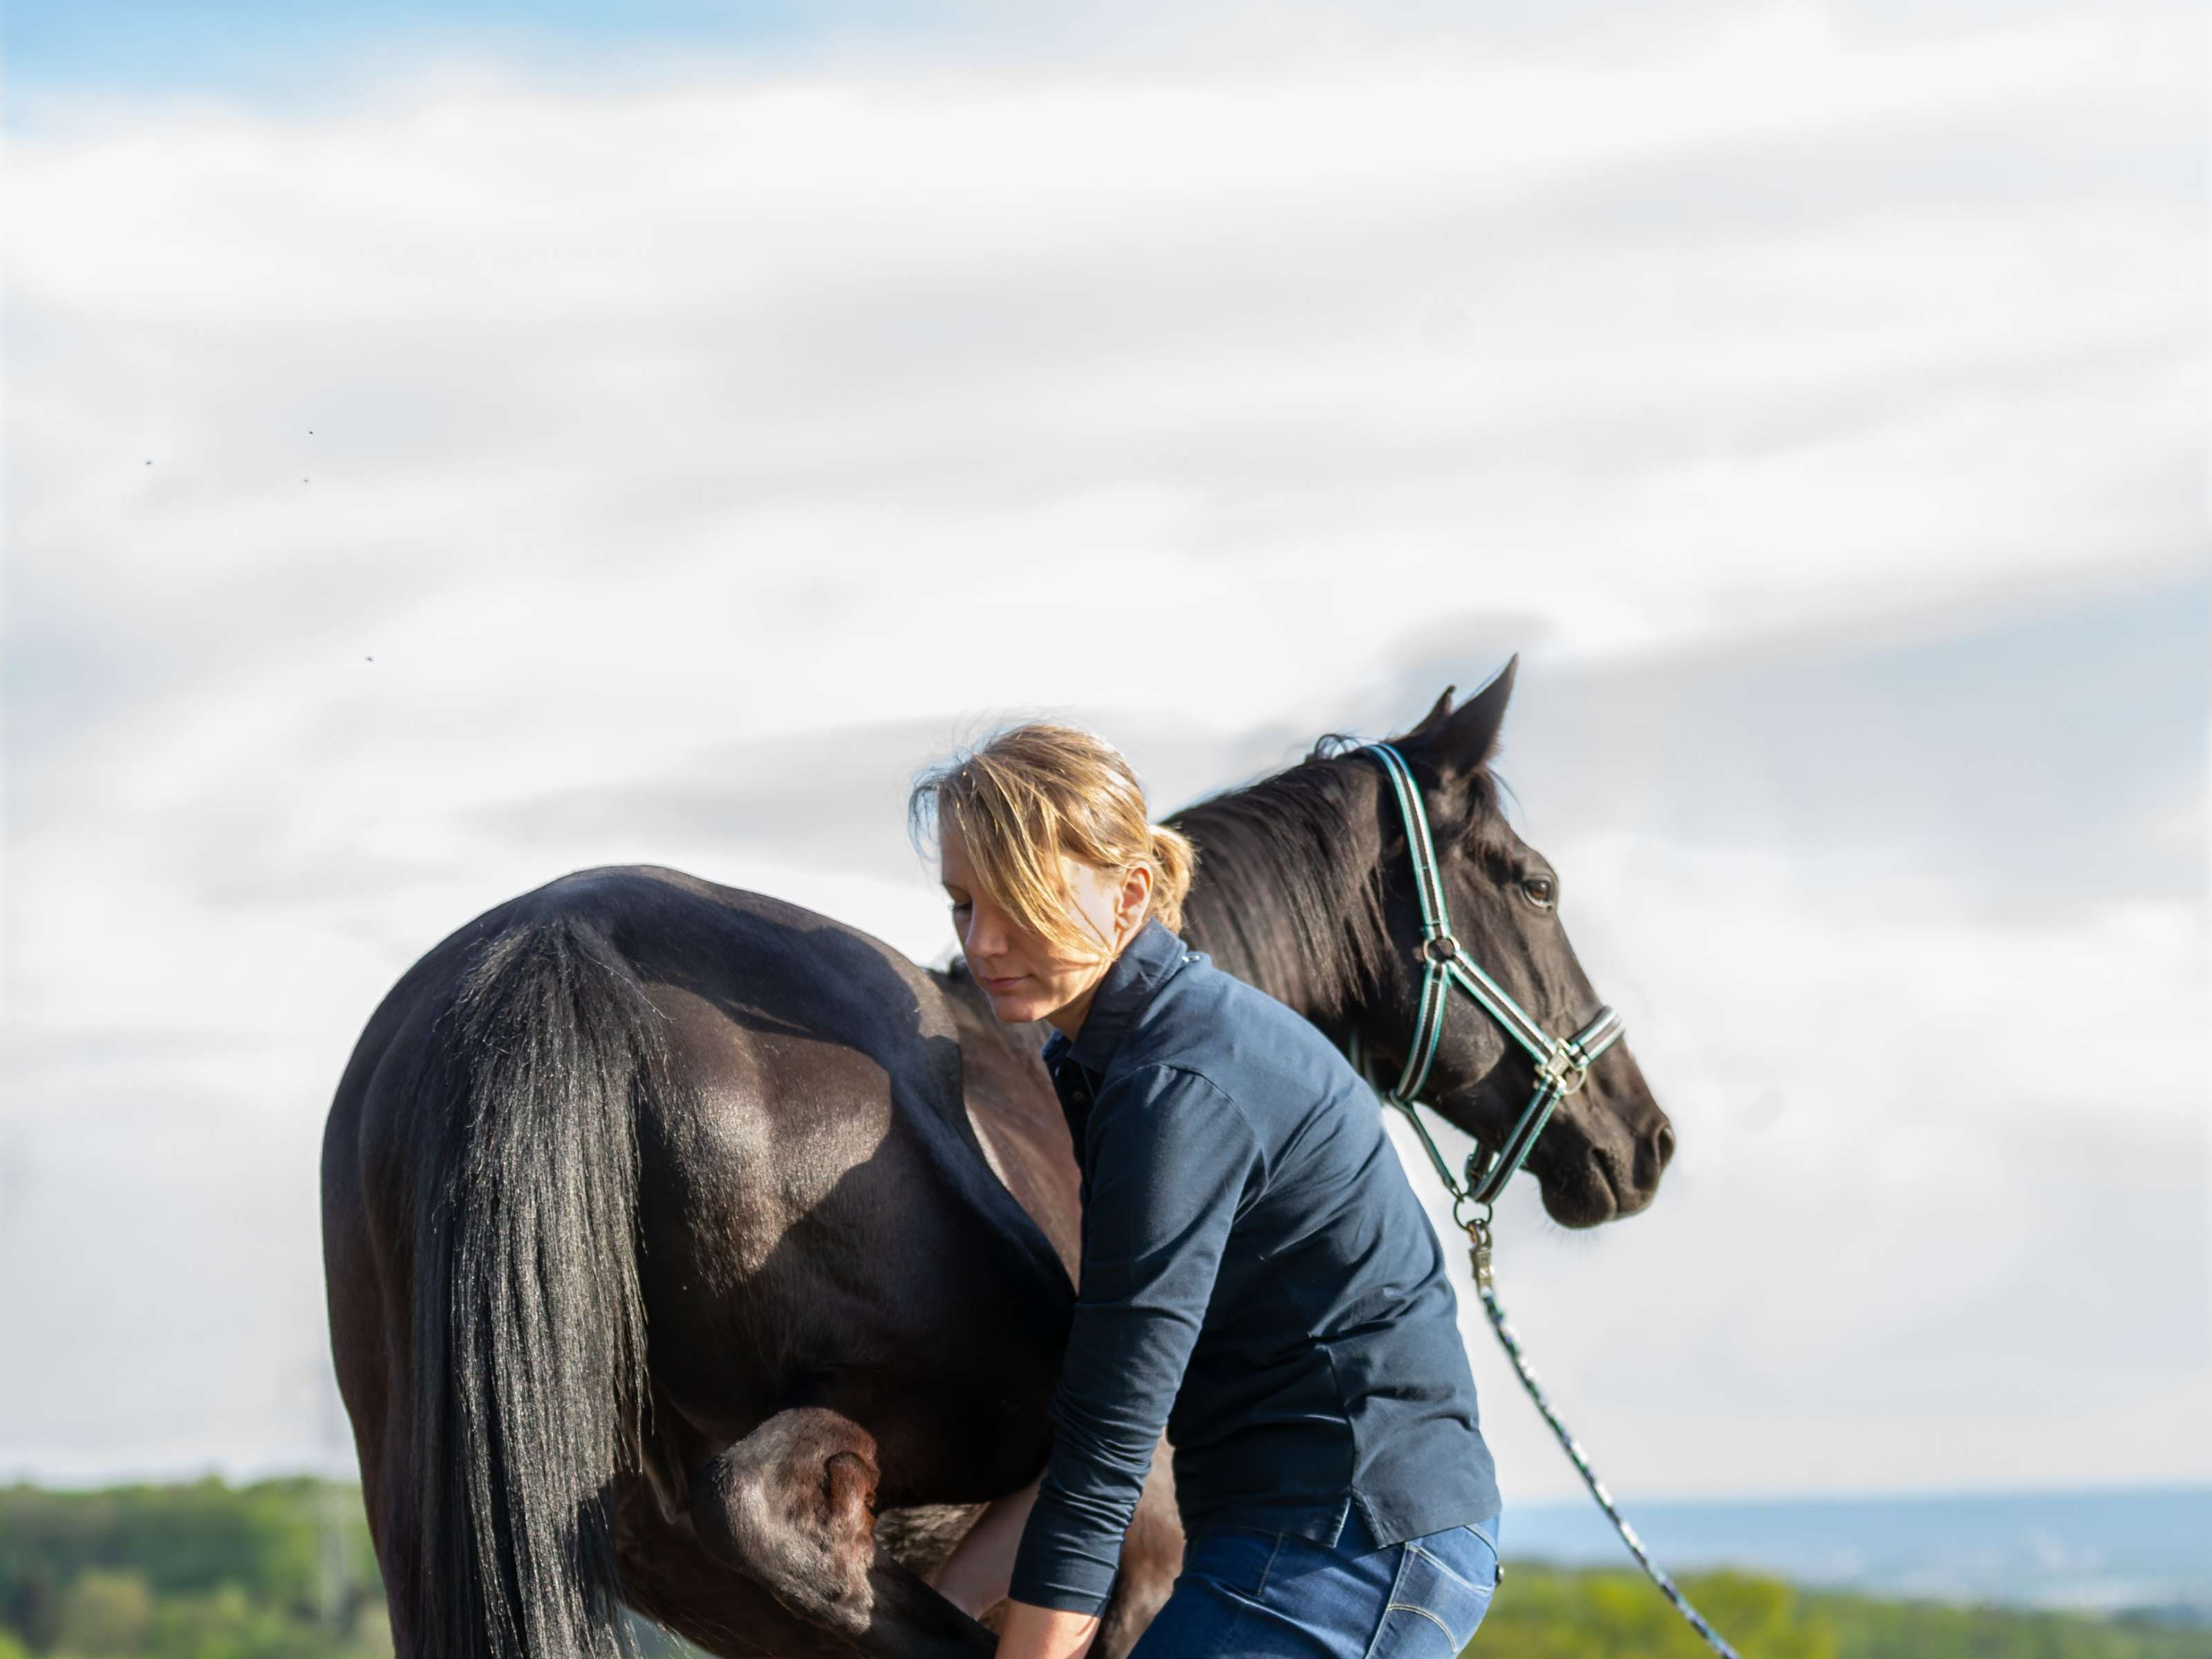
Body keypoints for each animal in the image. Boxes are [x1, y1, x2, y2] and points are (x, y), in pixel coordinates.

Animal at [319, 658, 1674, 1659]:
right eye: (1538, 886)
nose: (1643, 1138)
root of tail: (556, 947)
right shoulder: (1140, 1561)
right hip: (970, 1412)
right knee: (777, 1519)